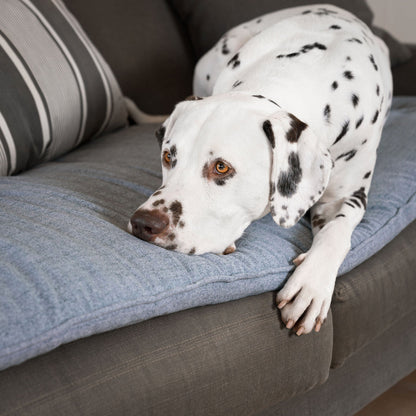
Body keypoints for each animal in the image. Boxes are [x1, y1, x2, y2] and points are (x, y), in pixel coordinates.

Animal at [129, 4, 394, 334]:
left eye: (221, 167)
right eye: (168, 156)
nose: (143, 223)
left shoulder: (345, 198)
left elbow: (337, 232)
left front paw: (312, 285)